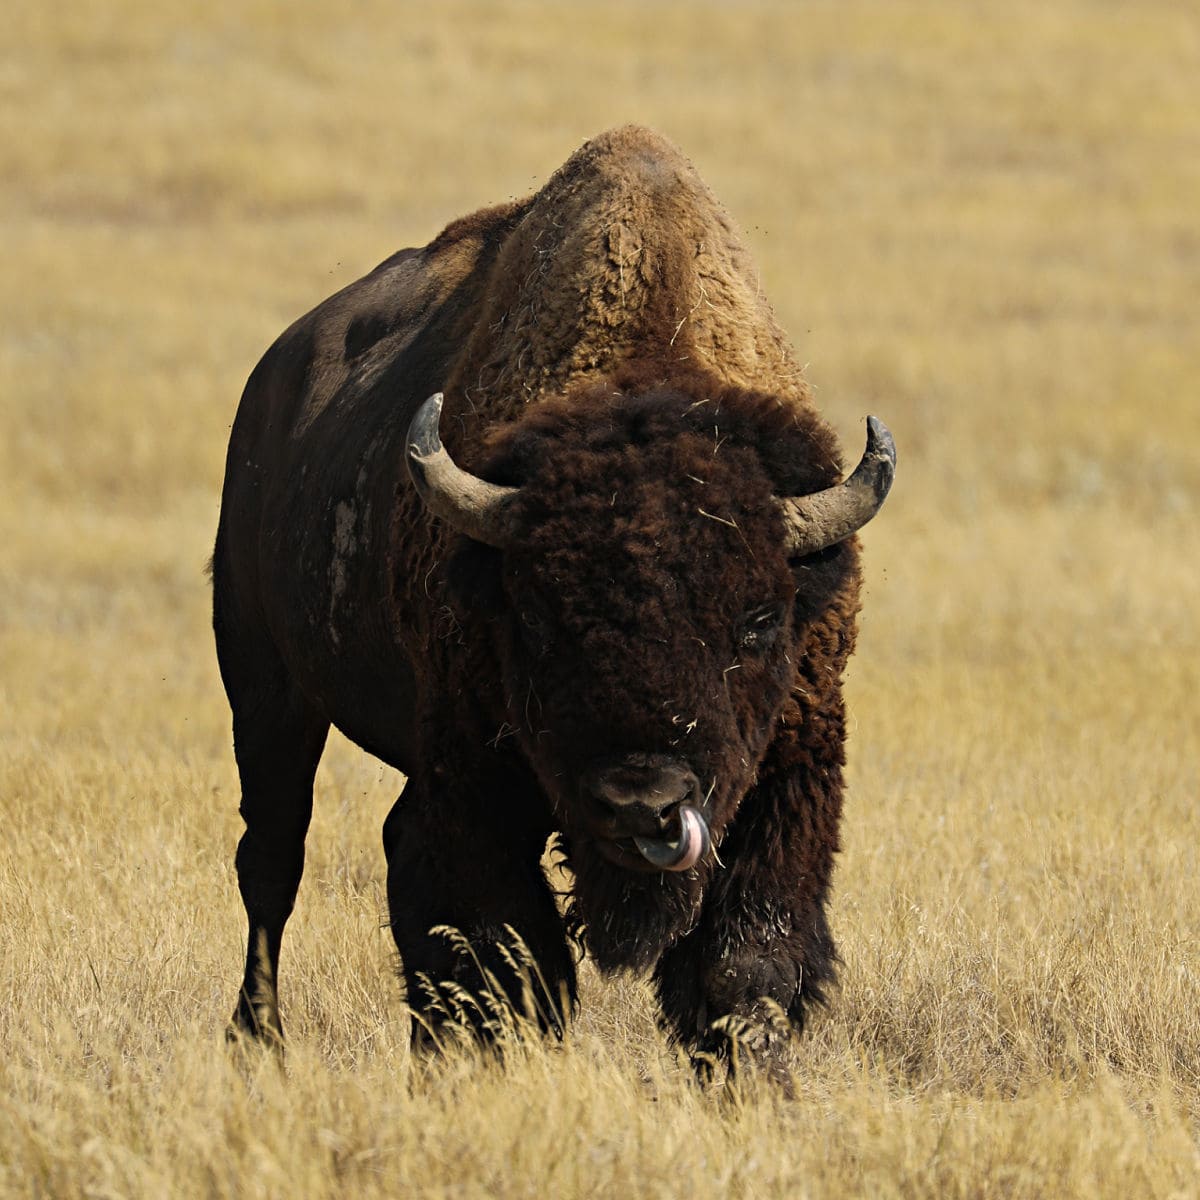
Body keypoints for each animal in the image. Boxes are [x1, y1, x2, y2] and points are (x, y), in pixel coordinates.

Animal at [213, 126, 892, 1075]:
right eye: (534, 618)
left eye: (760, 620)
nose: (644, 803)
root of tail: (269, 385)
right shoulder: (472, 775)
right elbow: (501, 946)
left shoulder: (790, 772)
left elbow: (743, 959)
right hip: (267, 689)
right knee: (273, 860)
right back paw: (258, 1037)